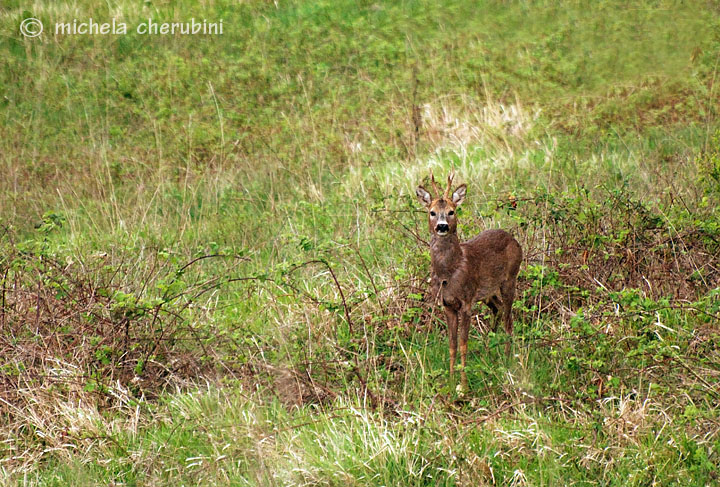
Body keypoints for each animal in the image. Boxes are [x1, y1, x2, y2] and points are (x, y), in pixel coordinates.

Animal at [416, 172, 524, 388]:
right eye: (432, 212)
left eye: (451, 211)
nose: (442, 226)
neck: (449, 272)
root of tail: (515, 241)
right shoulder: (446, 304)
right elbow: (452, 344)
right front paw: (450, 381)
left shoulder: (466, 302)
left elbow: (463, 344)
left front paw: (464, 386)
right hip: (487, 292)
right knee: (498, 308)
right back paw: (490, 351)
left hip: (510, 278)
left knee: (509, 319)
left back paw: (507, 359)